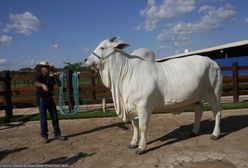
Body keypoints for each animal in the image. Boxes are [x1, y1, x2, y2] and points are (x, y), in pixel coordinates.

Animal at [85, 37, 223, 154]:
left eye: (102, 47)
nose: (85, 60)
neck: (125, 74)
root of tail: (213, 62)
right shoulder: (132, 107)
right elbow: (135, 126)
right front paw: (133, 143)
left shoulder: (143, 107)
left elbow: (142, 127)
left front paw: (141, 147)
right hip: (196, 98)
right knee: (198, 111)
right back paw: (194, 132)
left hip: (214, 94)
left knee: (217, 112)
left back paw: (215, 134)